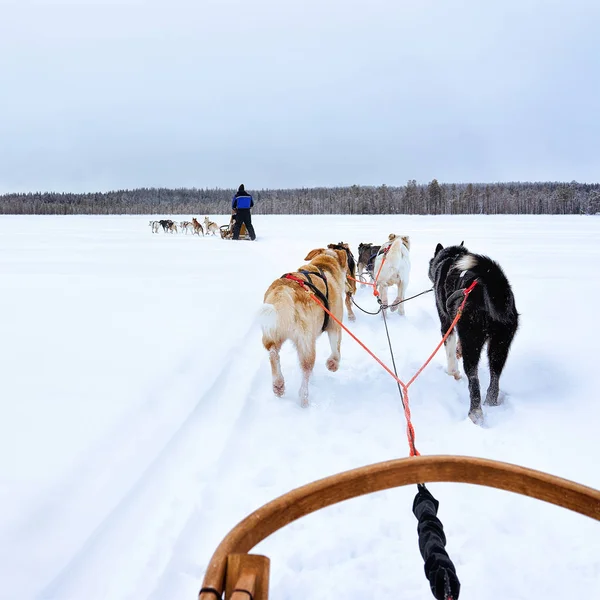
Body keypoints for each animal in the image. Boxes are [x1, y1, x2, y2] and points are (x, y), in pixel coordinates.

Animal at [260, 246, 350, 406]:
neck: (323, 266)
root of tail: (284, 290)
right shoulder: (335, 324)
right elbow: (336, 349)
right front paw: (333, 364)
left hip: (273, 334)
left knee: (273, 354)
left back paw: (278, 384)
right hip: (306, 343)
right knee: (306, 370)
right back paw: (304, 397)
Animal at [428, 241, 516, 424]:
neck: (450, 257)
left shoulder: (447, 324)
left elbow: (450, 354)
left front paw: (452, 372)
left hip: (472, 342)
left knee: (474, 380)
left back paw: (475, 413)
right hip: (500, 346)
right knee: (495, 376)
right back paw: (490, 402)